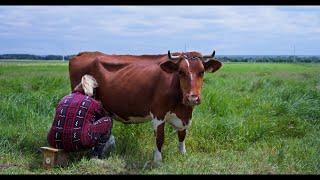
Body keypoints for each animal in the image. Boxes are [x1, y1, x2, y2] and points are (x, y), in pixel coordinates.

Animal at [68, 50, 222, 162]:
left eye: (201, 72)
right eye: (180, 72)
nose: (192, 97)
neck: (182, 107)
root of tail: (84, 53)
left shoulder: (185, 115)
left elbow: (182, 135)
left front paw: (182, 154)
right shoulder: (158, 113)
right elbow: (160, 138)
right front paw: (158, 160)